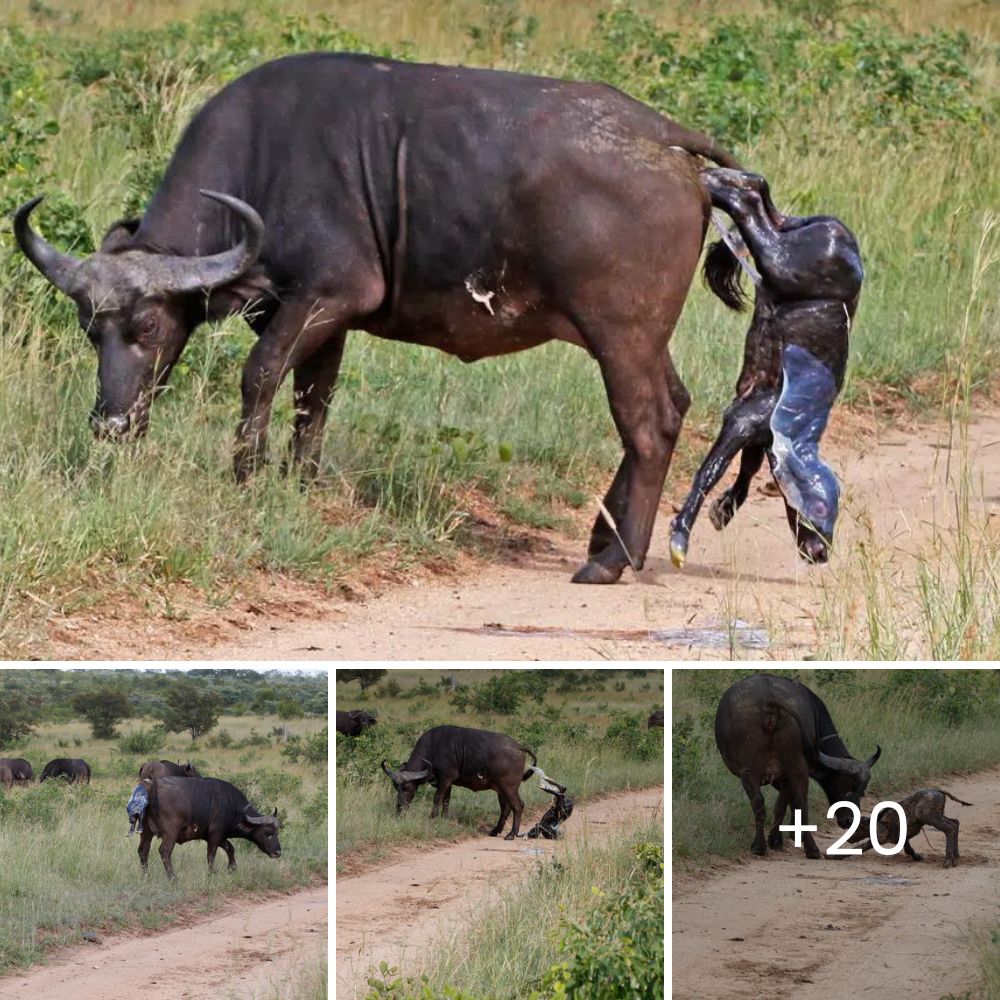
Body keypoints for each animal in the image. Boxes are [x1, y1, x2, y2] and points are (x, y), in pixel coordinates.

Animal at [11, 52, 740, 584]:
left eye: (150, 329)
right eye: (92, 330)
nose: (109, 425)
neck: (262, 162)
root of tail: (665, 140)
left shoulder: (326, 297)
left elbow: (259, 376)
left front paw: (246, 475)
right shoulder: (318, 320)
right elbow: (312, 401)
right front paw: (298, 486)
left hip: (621, 336)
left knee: (647, 425)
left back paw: (613, 559)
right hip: (642, 340)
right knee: (674, 407)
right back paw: (604, 537)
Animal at [135, 776, 280, 880]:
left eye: (277, 833)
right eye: (268, 832)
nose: (278, 852)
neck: (232, 806)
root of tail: (152, 786)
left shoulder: (218, 836)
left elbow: (230, 849)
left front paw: (232, 868)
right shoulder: (215, 835)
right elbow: (211, 855)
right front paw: (212, 873)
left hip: (146, 832)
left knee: (143, 850)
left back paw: (146, 875)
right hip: (170, 833)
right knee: (164, 851)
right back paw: (173, 878)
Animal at [382, 724, 540, 840]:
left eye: (406, 787)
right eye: (395, 787)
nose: (399, 807)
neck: (435, 747)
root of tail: (517, 747)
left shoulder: (445, 779)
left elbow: (437, 798)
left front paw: (432, 817)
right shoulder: (447, 784)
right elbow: (446, 801)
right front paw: (444, 818)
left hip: (509, 787)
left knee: (518, 806)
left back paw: (511, 834)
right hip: (500, 789)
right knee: (506, 808)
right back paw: (495, 831)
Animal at [668, 168, 864, 568]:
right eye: (821, 509)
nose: (821, 553)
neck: (795, 428)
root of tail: (834, 229)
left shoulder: (756, 434)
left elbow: (746, 472)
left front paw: (723, 511)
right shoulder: (743, 420)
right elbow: (709, 472)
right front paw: (680, 536)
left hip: (780, 252)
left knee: (758, 194)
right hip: (781, 260)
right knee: (751, 207)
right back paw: (712, 181)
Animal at [716, 672, 880, 860]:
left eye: (862, 791)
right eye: (845, 786)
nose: (849, 821)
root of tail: (768, 701)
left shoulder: (781, 775)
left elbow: (784, 803)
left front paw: (780, 838)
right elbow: (787, 802)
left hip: (760, 770)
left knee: (766, 802)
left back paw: (765, 846)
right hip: (788, 768)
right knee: (790, 802)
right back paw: (803, 848)